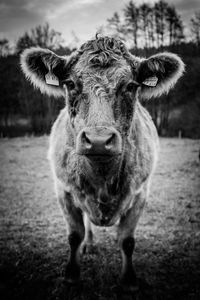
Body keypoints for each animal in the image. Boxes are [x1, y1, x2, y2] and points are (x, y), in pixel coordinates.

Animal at [20, 35, 184, 292]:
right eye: (71, 83)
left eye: (130, 86)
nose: (98, 140)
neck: (102, 178)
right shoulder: (63, 191)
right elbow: (74, 236)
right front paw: (71, 274)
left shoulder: (141, 193)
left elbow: (127, 240)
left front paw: (129, 280)